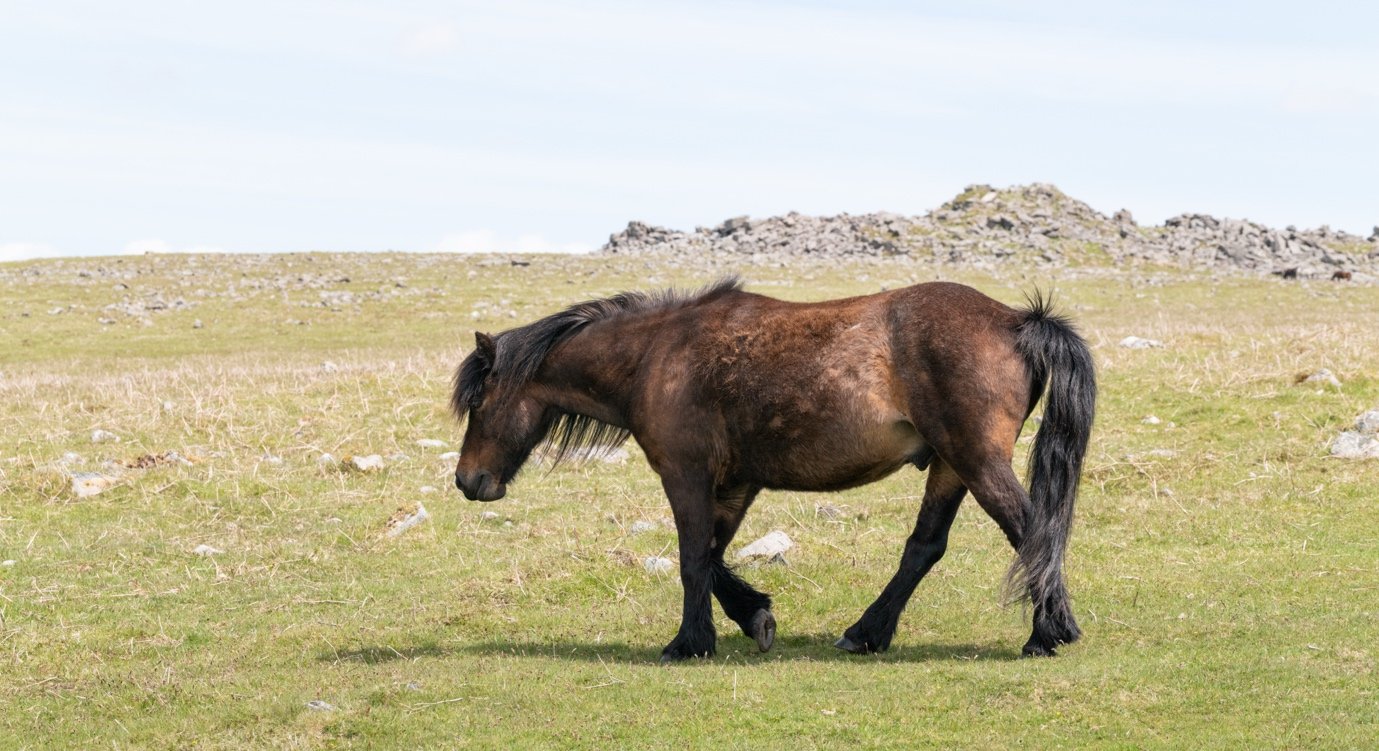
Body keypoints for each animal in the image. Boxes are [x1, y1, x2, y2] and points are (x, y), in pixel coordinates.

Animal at [451, 279, 1096, 661]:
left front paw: (689, 643)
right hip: (950, 467)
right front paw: (753, 616)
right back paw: (866, 633)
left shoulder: (685, 474)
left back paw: (1047, 634)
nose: (467, 481)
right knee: (924, 547)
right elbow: (713, 559)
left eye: (478, 402)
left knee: (1030, 531)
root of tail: (1019, 322)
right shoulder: (736, 483)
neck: (654, 356)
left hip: (974, 460)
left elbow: (692, 558)